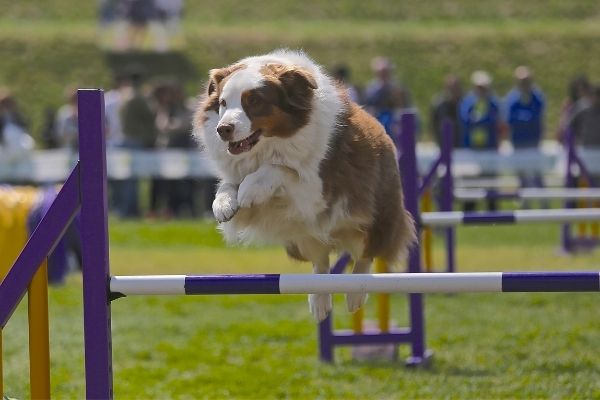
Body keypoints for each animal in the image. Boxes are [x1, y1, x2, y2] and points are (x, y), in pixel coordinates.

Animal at [195, 50, 414, 322]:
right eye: (223, 102)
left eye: (254, 100)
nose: (223, 129)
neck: (271, 144)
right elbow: (227, 184)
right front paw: (223, 204)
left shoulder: (316, 190)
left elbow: (281, 169)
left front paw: (249, 189)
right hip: (301, 237)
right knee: (320, 263)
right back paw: (319, 300)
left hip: (376, 214)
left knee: (366, 253)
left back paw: (356, 293)